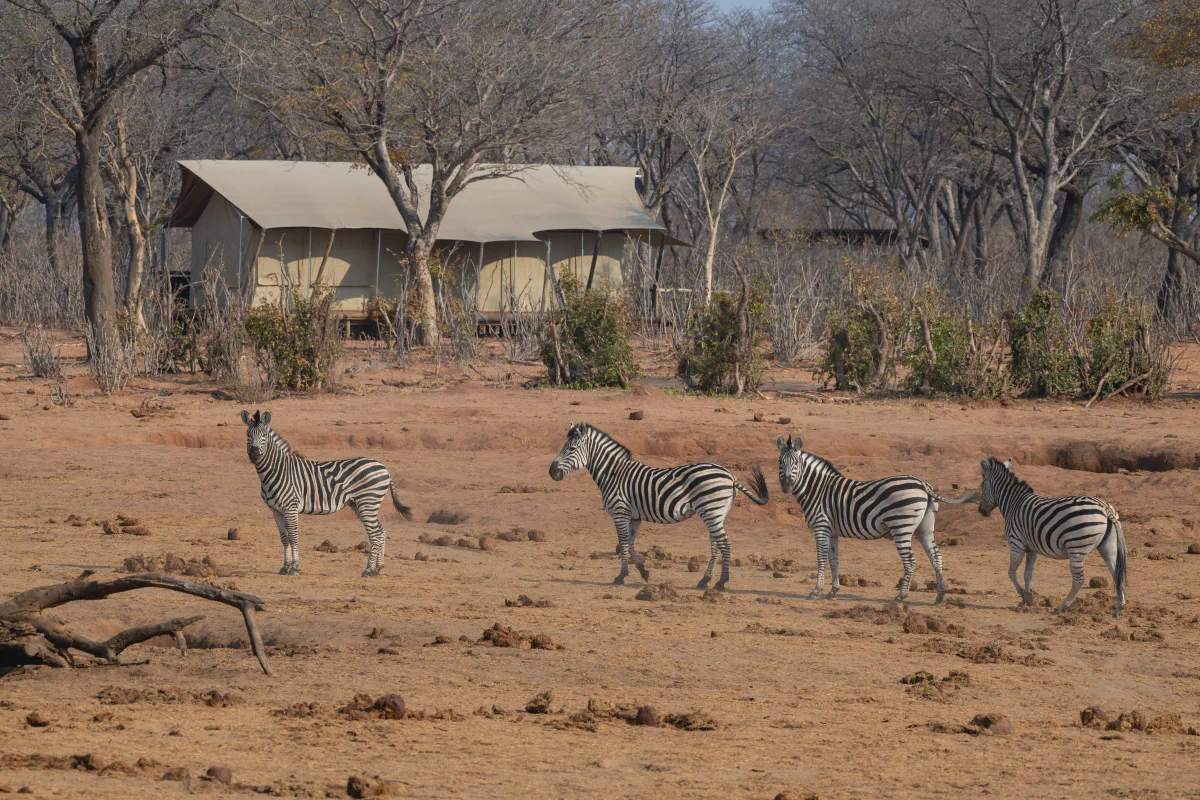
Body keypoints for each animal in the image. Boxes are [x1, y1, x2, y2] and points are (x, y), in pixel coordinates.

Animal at [241, 409, 412, 577]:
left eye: (263, 435)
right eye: (248, 433)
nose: (254, 455)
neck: (277, 470)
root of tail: (384, 467)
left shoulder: (290, 508)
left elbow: (294, 537)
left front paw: (295, 568)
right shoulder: (276, 511)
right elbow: (284, 539)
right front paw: (284, 567)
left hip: (368, 502)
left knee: (375, 535)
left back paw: (368, 570)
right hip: (359, 504)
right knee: (381, 531)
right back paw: (378, 569)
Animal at [548, 422, 769, 590]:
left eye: (571, 449)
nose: (551, 472)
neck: (613, 474)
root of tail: (730, 476)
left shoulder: (620, 512)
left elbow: (624, 543)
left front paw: (621, 576)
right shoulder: (634, 516)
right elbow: (630, 543)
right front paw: (643, 572)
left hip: (711, 511)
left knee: (725, 543)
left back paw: (721, 582)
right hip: (716, 513)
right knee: (716, 544)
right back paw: (704, 580)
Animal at [776, 435, 975, 603]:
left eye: (796, 463)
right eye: (780, 462)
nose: (786, 485)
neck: (818, 489)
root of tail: (923, 484)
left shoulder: (821, 527)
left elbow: (821, 559)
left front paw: (816, 591)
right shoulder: (832, 532)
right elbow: (834, 560)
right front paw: (833, 591)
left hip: (901, 527)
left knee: (910, 561)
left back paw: (900, 596)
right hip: (925, 528)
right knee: (936, 557)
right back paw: (940, 596)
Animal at [978, 457, 1127, 617]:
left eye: (981, 485)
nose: (981, 511)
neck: (1013, 503)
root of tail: (1105, 507)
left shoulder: (1016, 543)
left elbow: (1011, 572)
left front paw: (1023, 595)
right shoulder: (1031, 548)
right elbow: (1027, 574)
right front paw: (1027, 598)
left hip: (1076, 547)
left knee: (1078, 580)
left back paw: (1061, 607)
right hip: (1108, 546)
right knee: (1116, 574)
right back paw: (1119, 607)